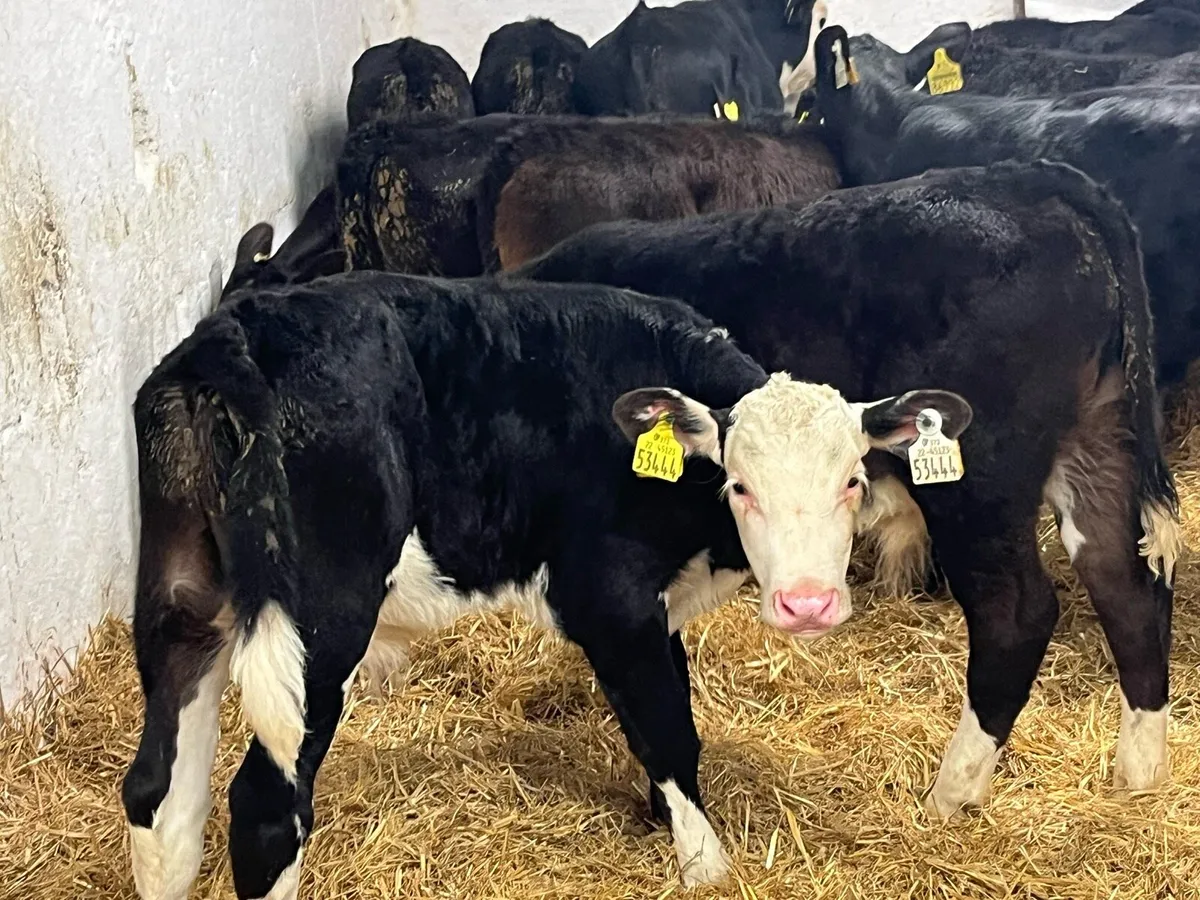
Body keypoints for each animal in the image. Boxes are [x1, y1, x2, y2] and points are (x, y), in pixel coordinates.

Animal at [119, 270, 970, 898]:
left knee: (160, 794)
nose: (807, 604)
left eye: (853, 478)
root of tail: (239, 332)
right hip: (316, 624)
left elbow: (668, 717)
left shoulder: (656, 611)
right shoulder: (609, 599)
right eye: (739, 484)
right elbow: (669, 729)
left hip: (181, 602)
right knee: (267, 806)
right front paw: (705, 865)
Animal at [514, 159, 1181, 821]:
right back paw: (1139, 779)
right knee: (1128, 586)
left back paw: (949, 796)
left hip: (979, 482)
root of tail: (1036, 178)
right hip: (1099, 445)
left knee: (1016, 612)